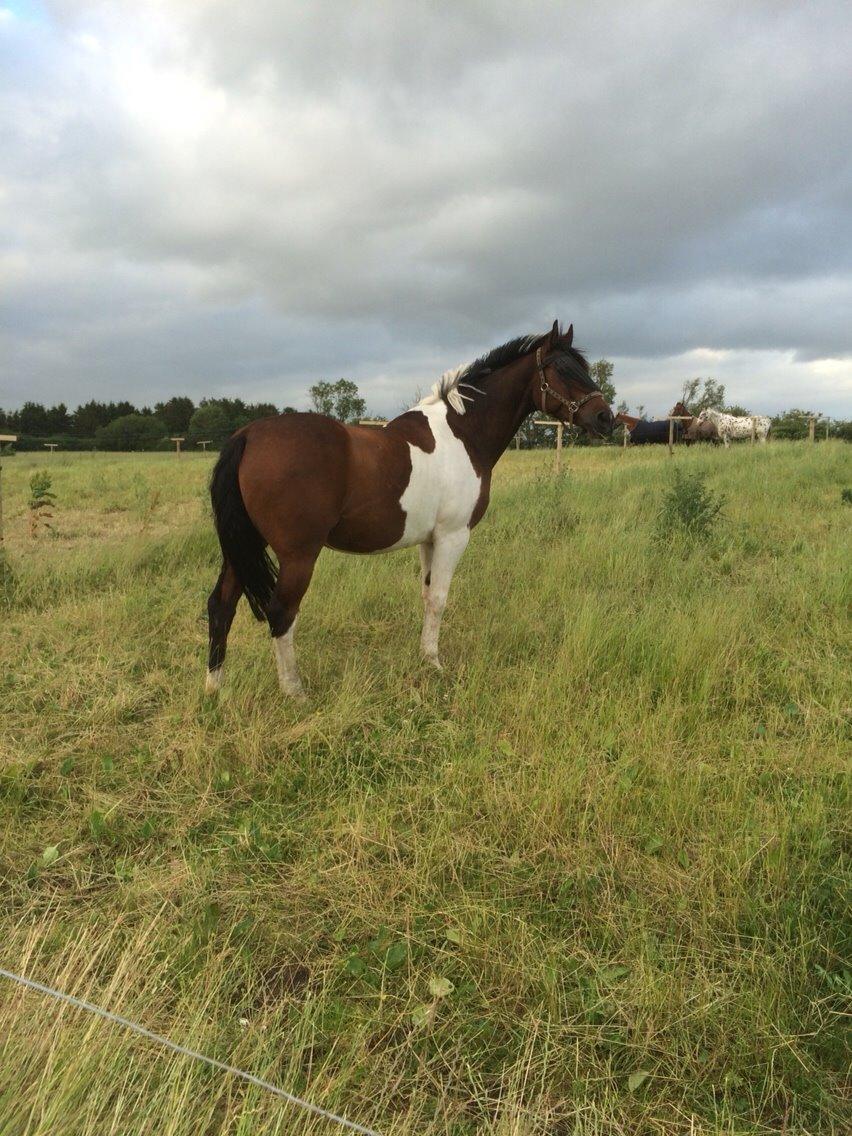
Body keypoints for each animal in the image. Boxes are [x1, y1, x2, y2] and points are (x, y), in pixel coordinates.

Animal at [205, 318, 613, 690]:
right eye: (562, 371)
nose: (605, 418)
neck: (463, 434)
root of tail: (248, 435)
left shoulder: (429, 540)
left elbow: (426, 595)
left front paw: (424, 657)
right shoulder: (452, 536)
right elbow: (440, 599)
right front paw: (435, 663)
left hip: (241, 549)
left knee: (221, 605)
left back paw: (215, 690)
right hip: (297, 555)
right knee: (281, 614)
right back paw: (294, 691)